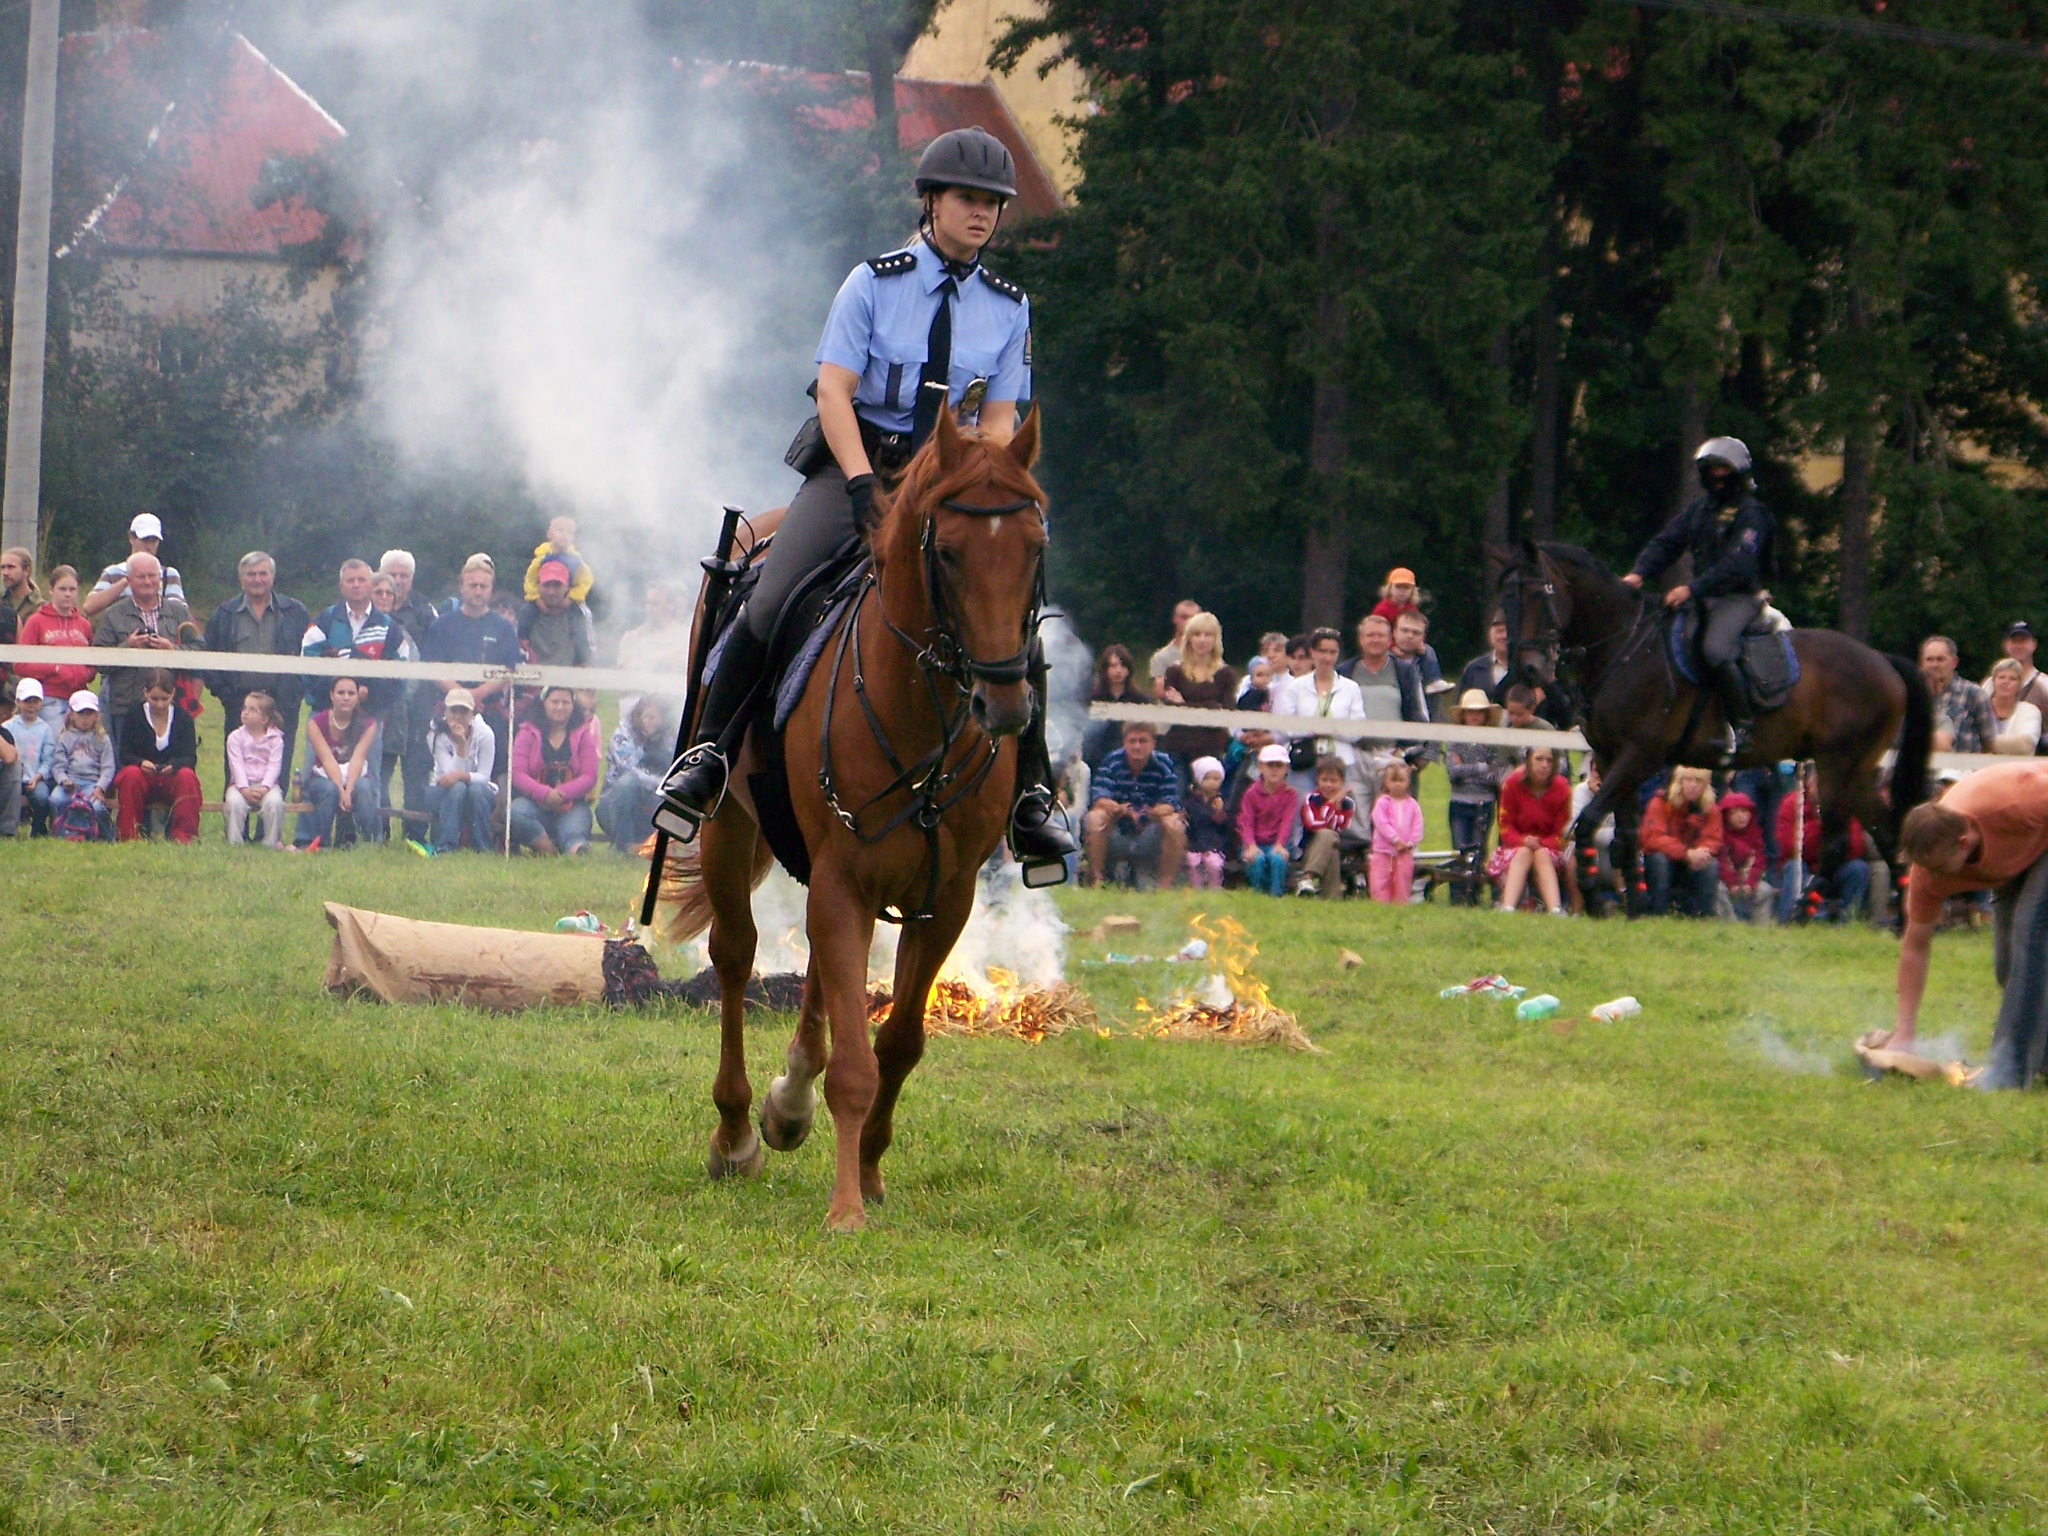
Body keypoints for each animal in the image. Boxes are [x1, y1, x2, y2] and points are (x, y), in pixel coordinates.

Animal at [659, 409, 1048, 1236]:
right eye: (950, 552)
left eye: (1033, 547)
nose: (1003, 702)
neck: (918, 712)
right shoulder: (845, 878)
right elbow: (854, 1065)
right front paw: (845, 1207)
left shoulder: (944, 898)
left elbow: (897, 1043)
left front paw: (868, 1171)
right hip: (731, 827)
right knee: (736, 956)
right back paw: (738, 1132)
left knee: (814, 975)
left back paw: (787, 1105)